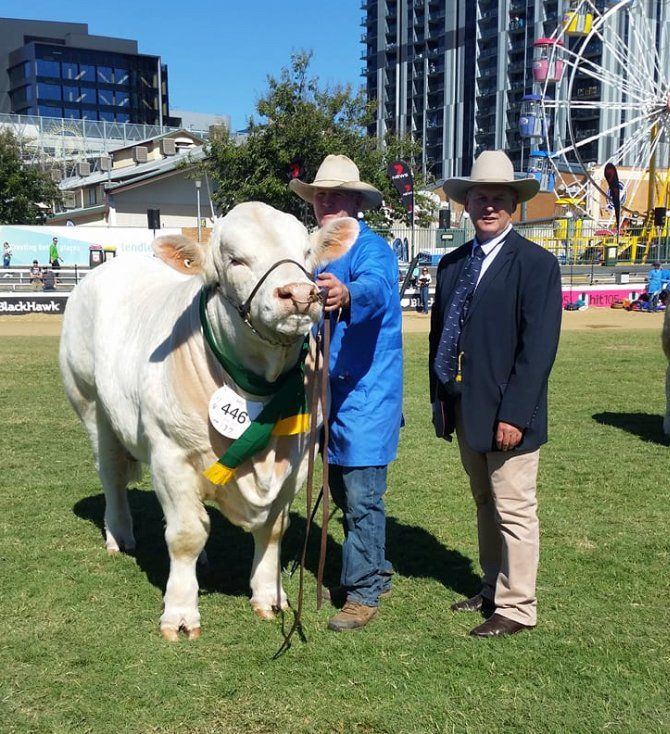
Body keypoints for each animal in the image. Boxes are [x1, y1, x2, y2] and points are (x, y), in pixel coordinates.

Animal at [59, 202, 358, 640]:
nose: (300, 294)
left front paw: (269, 597)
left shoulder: (299, 459)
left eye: (306, 253)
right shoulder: (171, 454)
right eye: (234, 259)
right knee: (112, 476)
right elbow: (185, 535)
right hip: (91, 405)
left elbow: (273, 529)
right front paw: (180, 613)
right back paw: (119, 535)